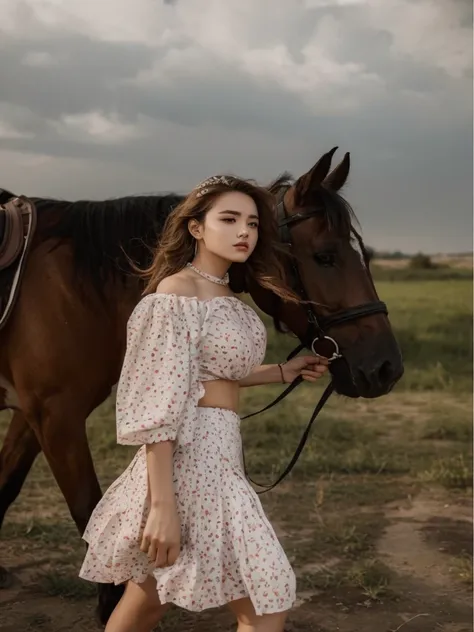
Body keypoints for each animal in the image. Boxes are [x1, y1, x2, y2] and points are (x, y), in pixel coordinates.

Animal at [0, 149, 404, 624]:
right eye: (324, 256)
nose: (386, 368)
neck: (75, 288)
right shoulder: (55, 415)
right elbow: (86, 507)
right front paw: (110, 604)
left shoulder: (34, 415)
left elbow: (5, 487)